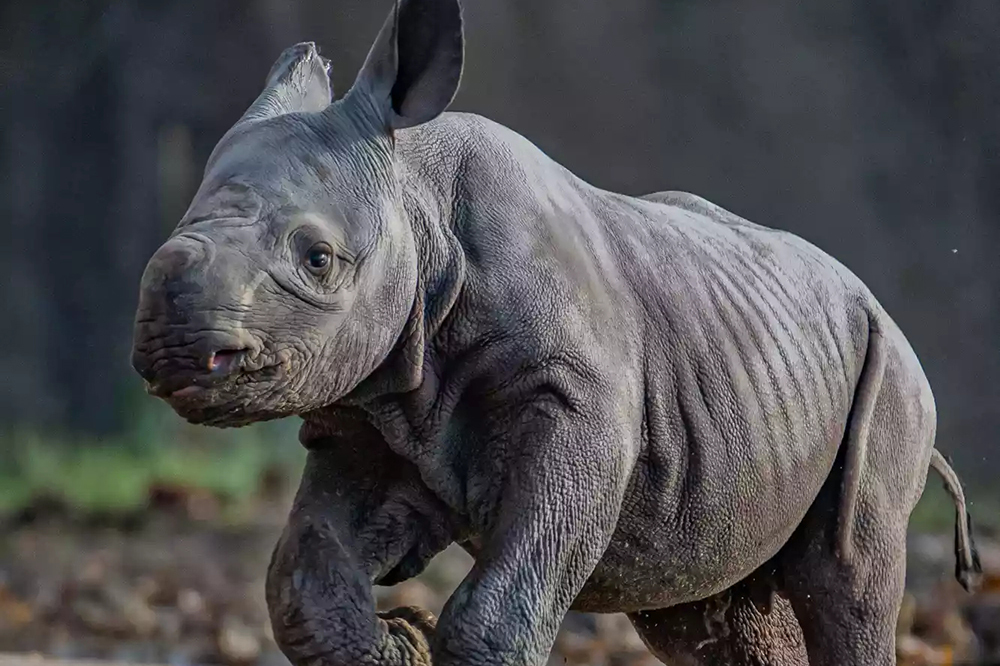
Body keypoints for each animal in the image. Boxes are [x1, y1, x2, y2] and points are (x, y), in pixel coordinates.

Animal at [129, 1, 980, 664]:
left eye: (318, 260)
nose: (173, 346)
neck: (421, 209)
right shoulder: (368, 415)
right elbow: (305, 582)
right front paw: (402, 640)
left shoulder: (577, 408)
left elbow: (500, 609)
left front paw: (418, 632)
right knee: (698, 611)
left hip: (892, 373)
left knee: (852, 578)